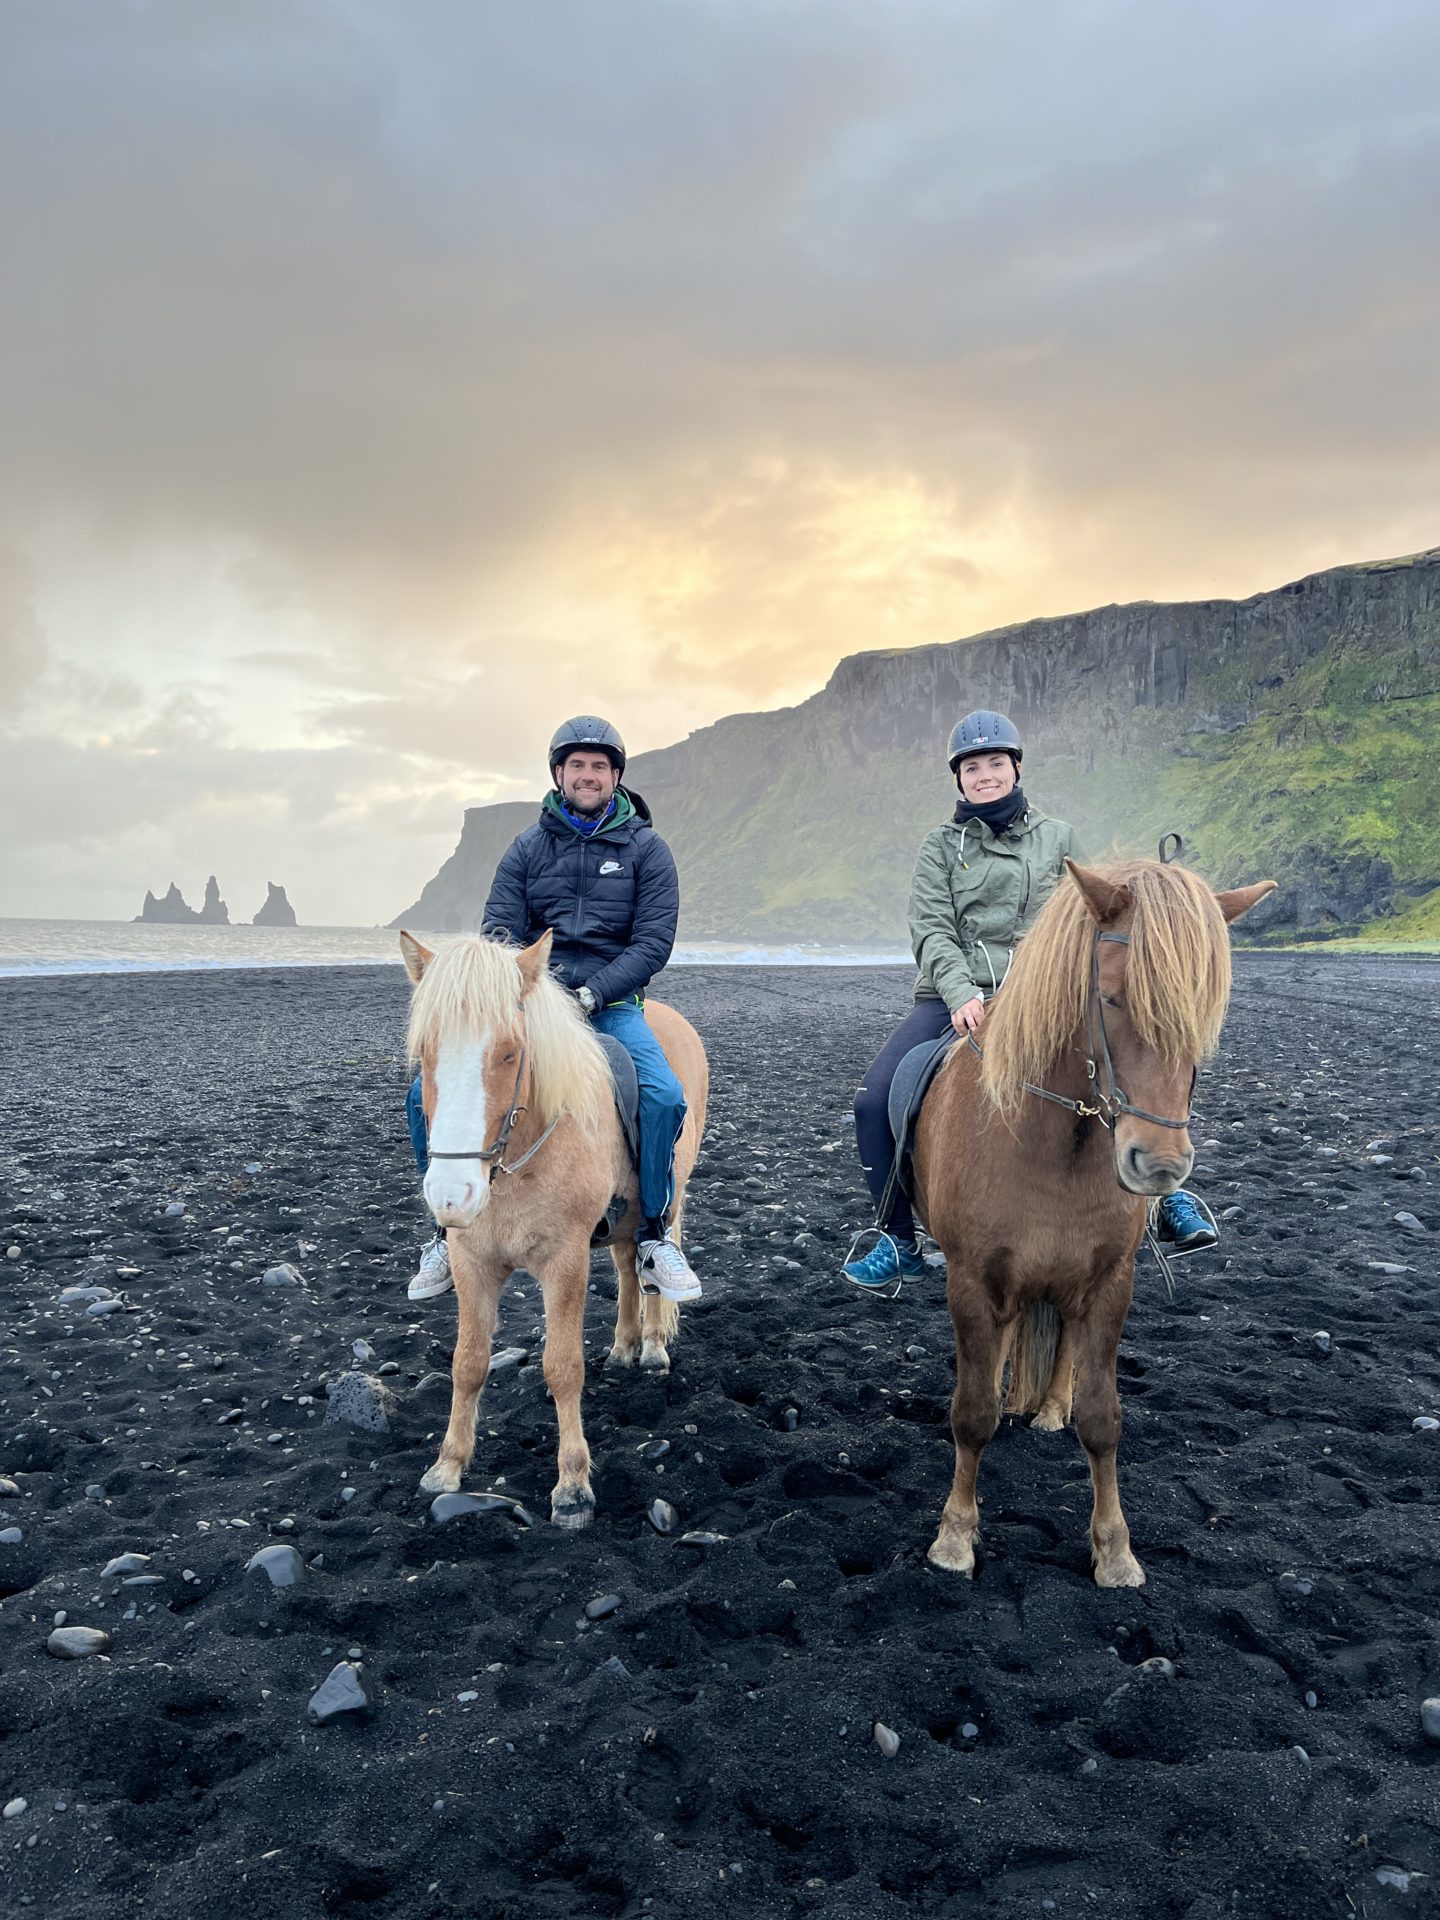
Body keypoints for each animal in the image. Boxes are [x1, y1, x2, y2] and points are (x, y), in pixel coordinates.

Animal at [401, 929, 710, 1528]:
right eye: (424, 1052)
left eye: (509, 1052)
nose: (451, 1197)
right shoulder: (472, 1261)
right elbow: (468, 1363)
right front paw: (447, 1465)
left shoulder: (563, 1261)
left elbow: (562, 1367)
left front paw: (572, 1487)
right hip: (620, 1222)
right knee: (627, 1267)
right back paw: (624, 1345)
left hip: (670, 1196)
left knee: (656, 1261)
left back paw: (653, 1346)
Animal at [913, 864, 1274, 1582]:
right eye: (1109, 998)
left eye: (1207, 1014)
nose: (1158, 1164)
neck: (1052, 1141)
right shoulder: (972, 1283)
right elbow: (971, 1414)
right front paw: (955, 1536)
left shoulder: (1110, 1284)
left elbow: (1103, 1417)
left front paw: (1114, 1549)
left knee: (1061, 1351)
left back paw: (1051, 1408)